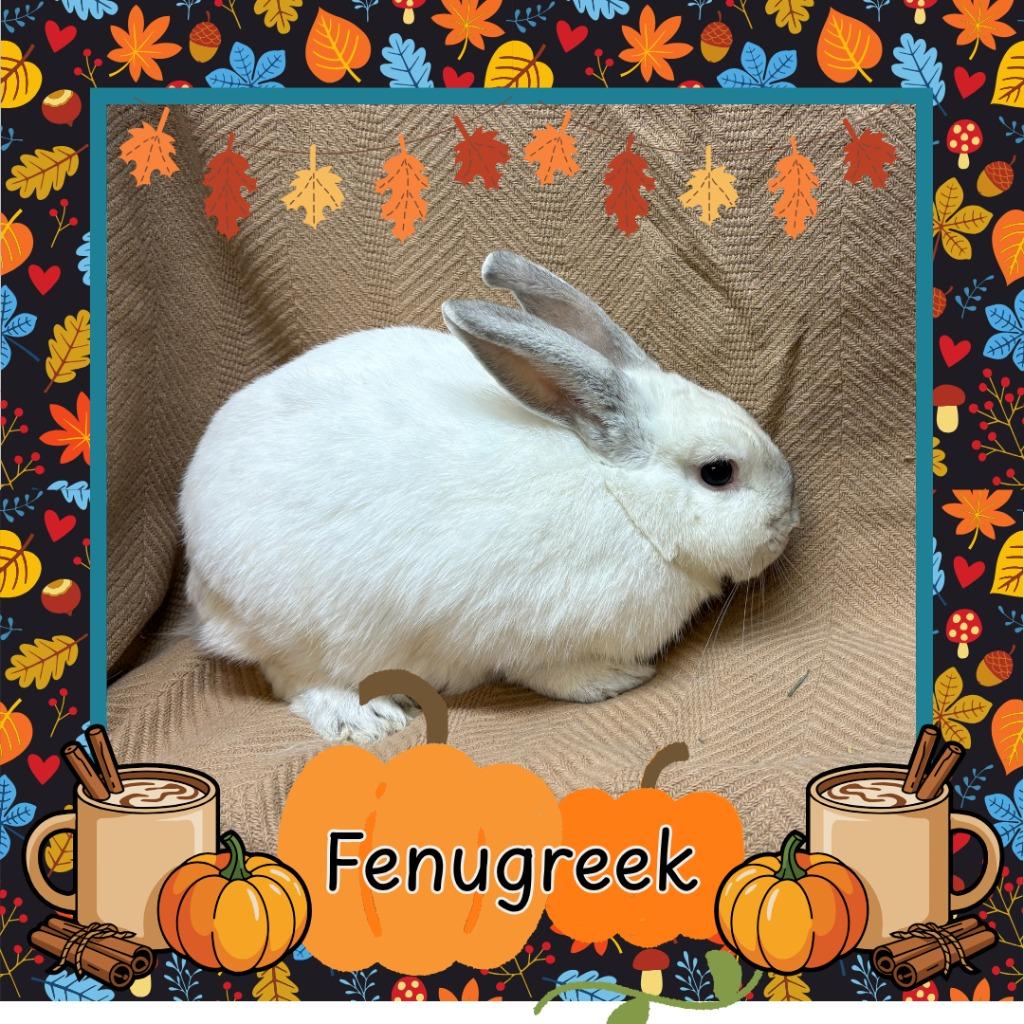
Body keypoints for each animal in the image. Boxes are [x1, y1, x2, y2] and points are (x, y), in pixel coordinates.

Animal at [180, 252, 799, 744]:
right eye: (718, 472)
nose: (790, 522)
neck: (622, 498)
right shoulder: (535, 637)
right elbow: (554, 675)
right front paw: (615, 681)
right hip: (306, 628)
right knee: (296, 678)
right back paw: (370, 720)